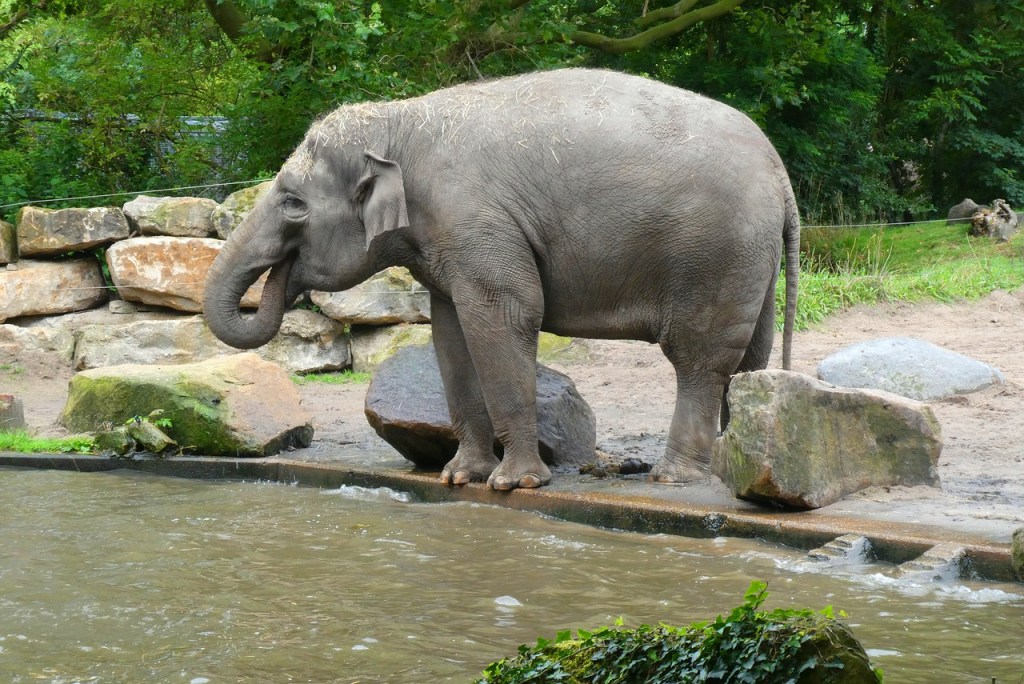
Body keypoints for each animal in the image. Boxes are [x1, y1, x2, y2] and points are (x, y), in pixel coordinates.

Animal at [201, 66, 798, 489]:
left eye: (293, 203)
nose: (283, 279)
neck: (401, 124)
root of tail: (780, 172)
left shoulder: (477, 223)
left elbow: (507, 313)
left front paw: (514, 484)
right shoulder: (447, 243)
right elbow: (450, 331)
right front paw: (460, 476)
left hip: (714, 252)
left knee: (699, 357)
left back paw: (675, 477)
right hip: (751, 258)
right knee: (752, 354)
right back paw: (729, 468)